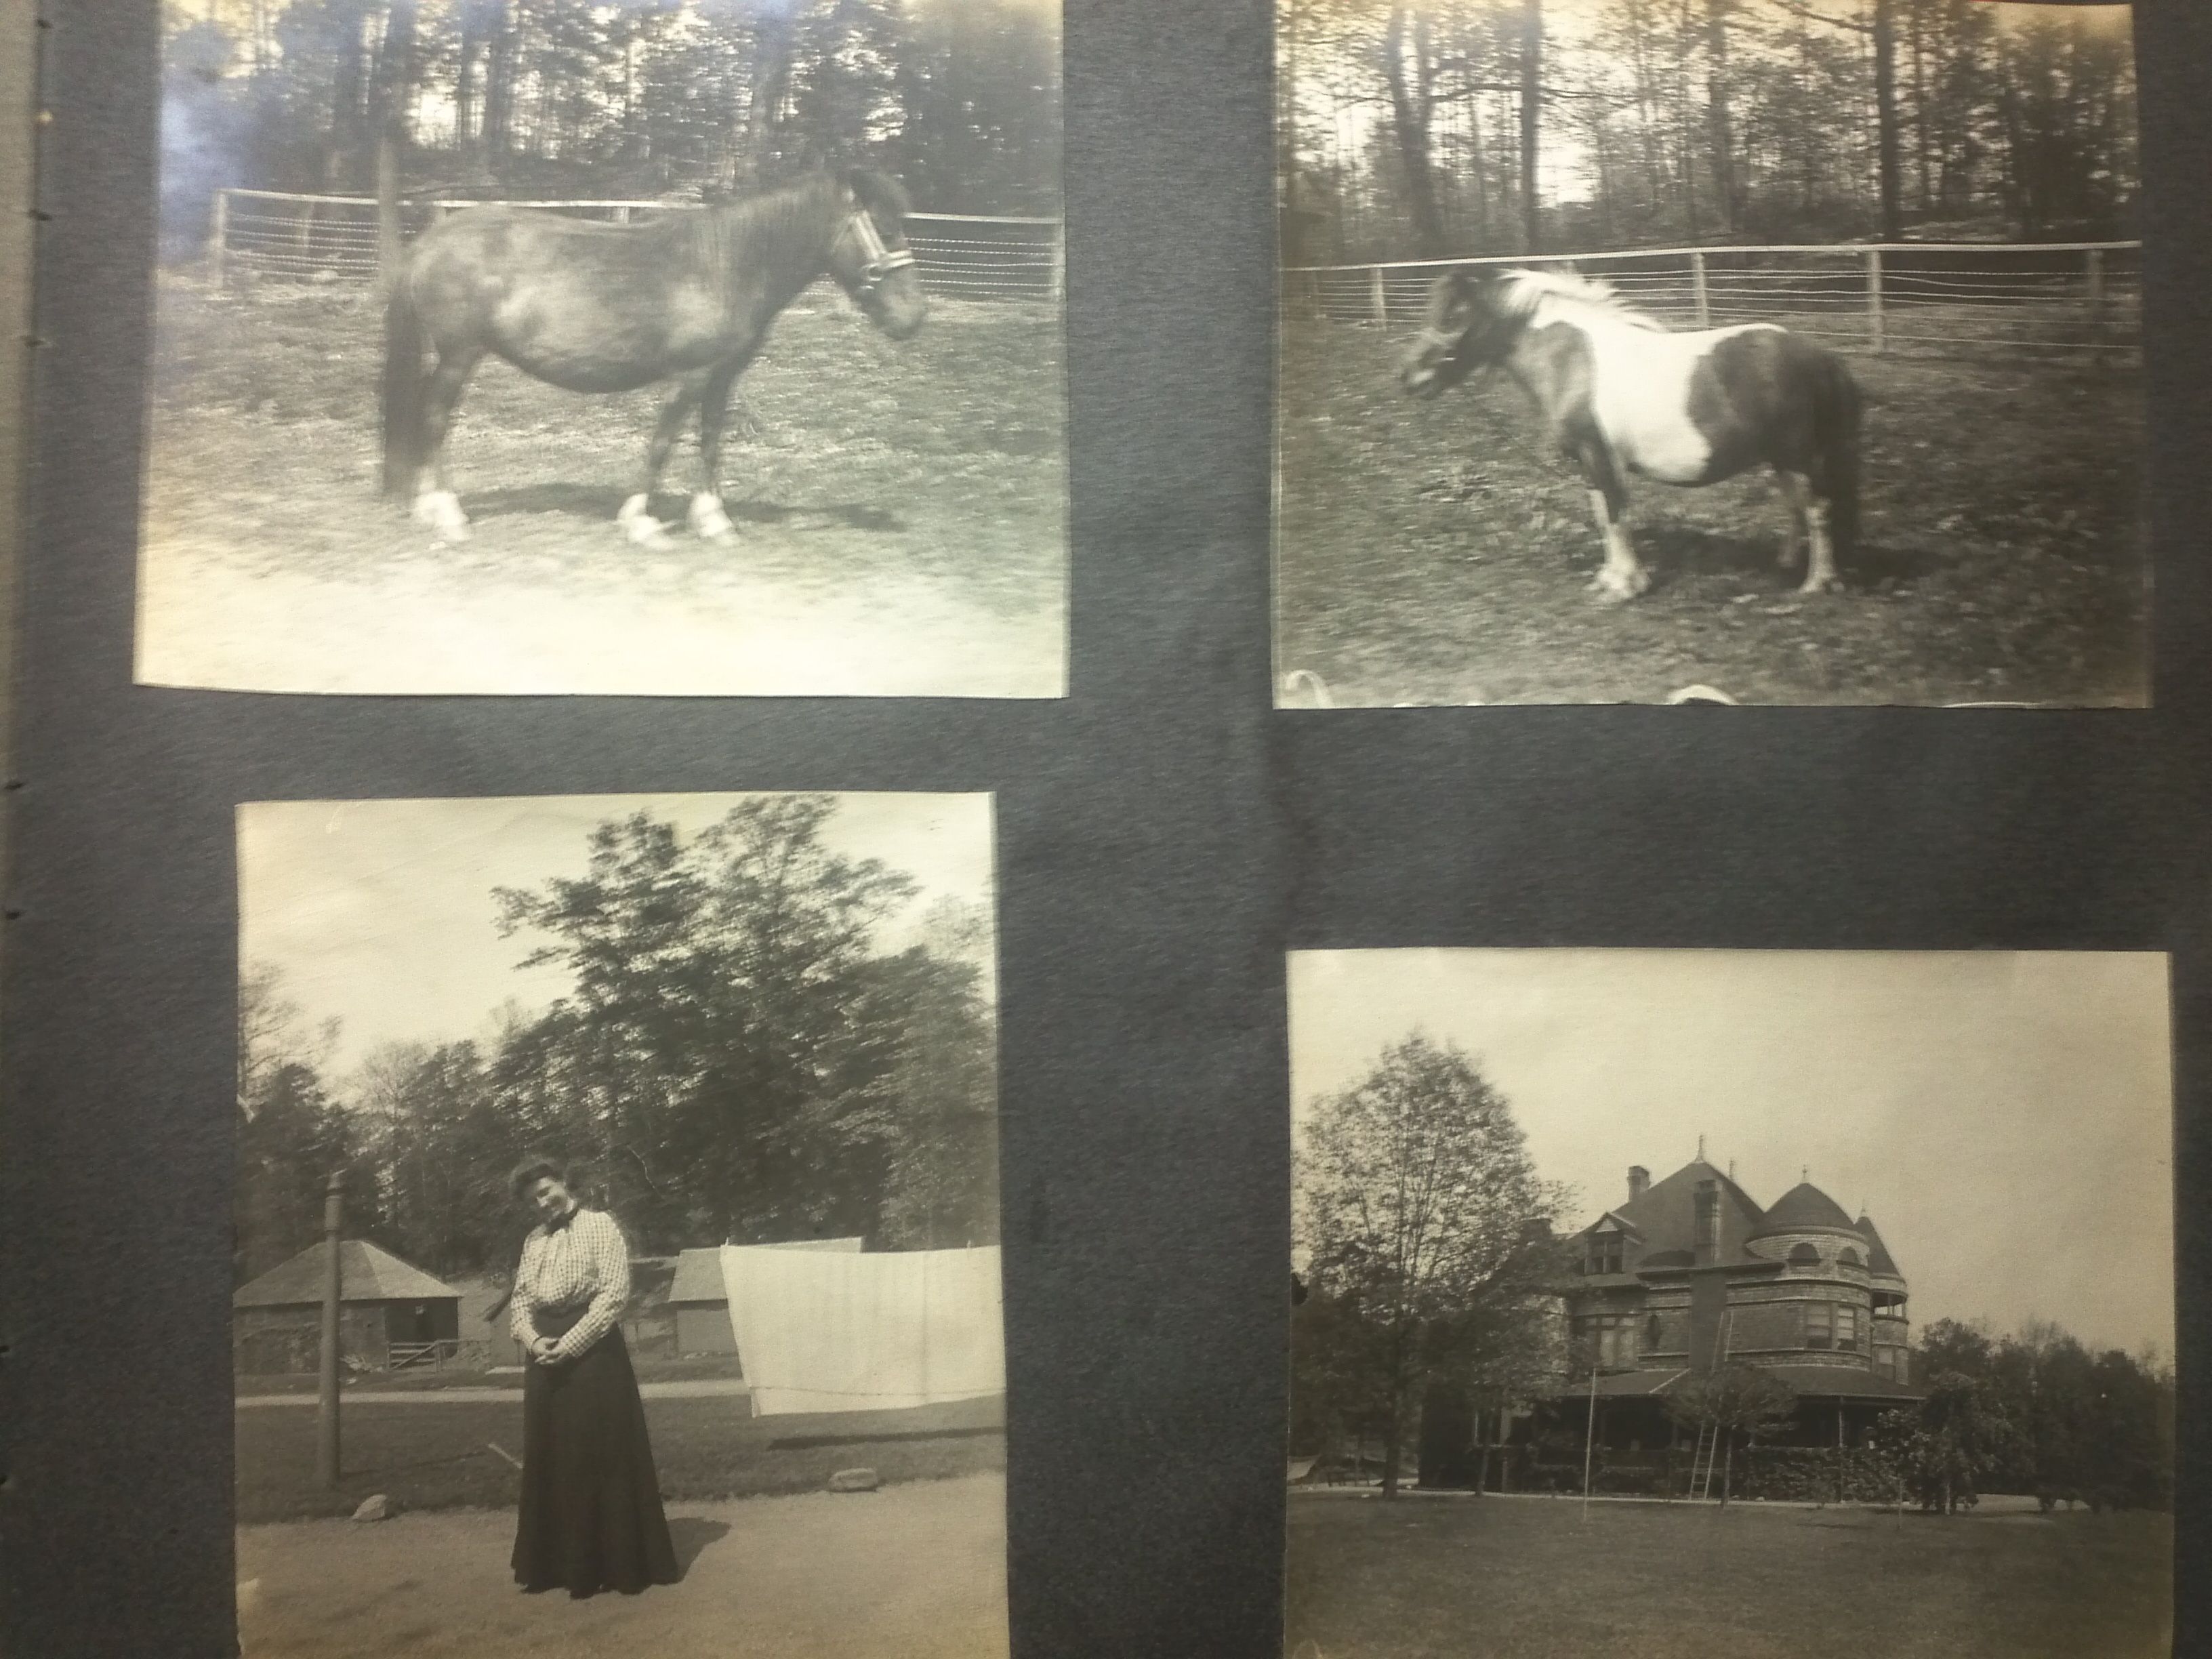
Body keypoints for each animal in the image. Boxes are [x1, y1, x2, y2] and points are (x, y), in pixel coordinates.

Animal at [380, 169, 924, 548]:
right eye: (885, 228)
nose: (913, 318)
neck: (725, 266)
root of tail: (429, 241)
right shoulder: (690, 377)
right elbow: (662, 444)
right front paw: (641, 523)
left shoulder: (722, 378)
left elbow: (710, 443)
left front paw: (714, 522)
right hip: (460, 355)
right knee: (436, 418)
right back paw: (449, 516)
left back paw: (426, 507)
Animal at [1397, 270, 1866, 606]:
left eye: (1454, 316)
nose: (1408, 378)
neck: (1572, 360)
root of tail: (1820, 357)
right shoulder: (1589, 461)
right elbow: (1603, 514)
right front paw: (1610, 579)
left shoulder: (1598, 454)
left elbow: (1615, 515)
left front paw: (1625, 585)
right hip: (1781, 458)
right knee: (1796, 505)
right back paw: (1787, 564)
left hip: (1797, 454)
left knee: (1818, 510)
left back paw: (1819, 583)